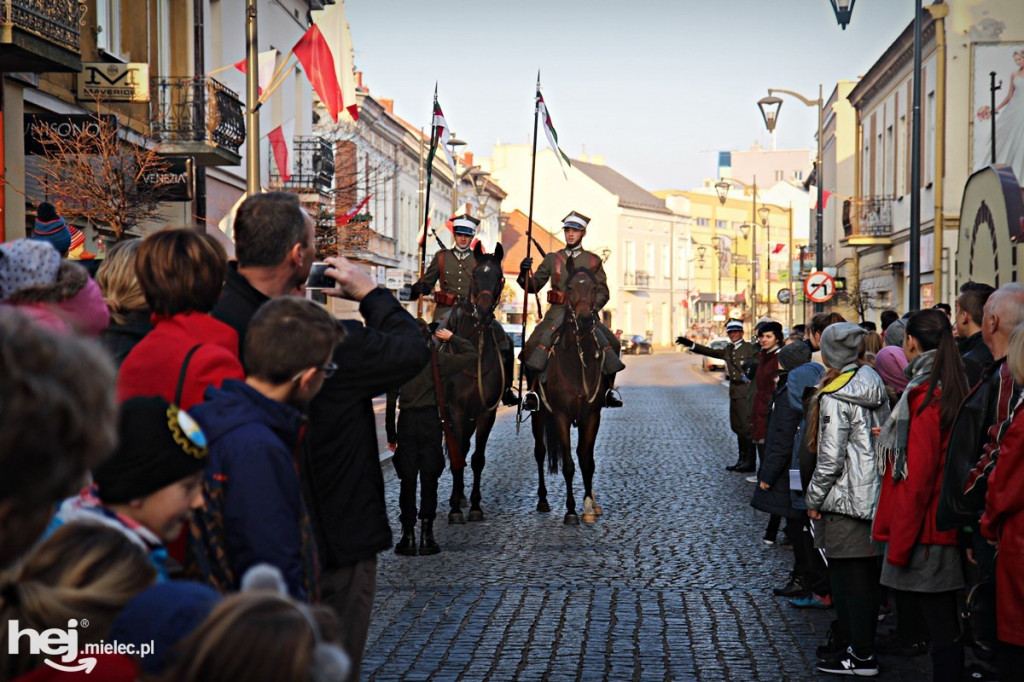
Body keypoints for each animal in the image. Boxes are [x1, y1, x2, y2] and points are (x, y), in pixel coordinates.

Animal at [528, 258, 606, 522]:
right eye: (570, 288)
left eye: (594, 288)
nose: (583, 318)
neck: (577, 358)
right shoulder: (561, 416)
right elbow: (570, 464)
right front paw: (571, 511)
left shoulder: (591, 416)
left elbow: (587, 460)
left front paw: (589, 506)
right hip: (539, 414)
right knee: (540, 452)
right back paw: (542, 500)